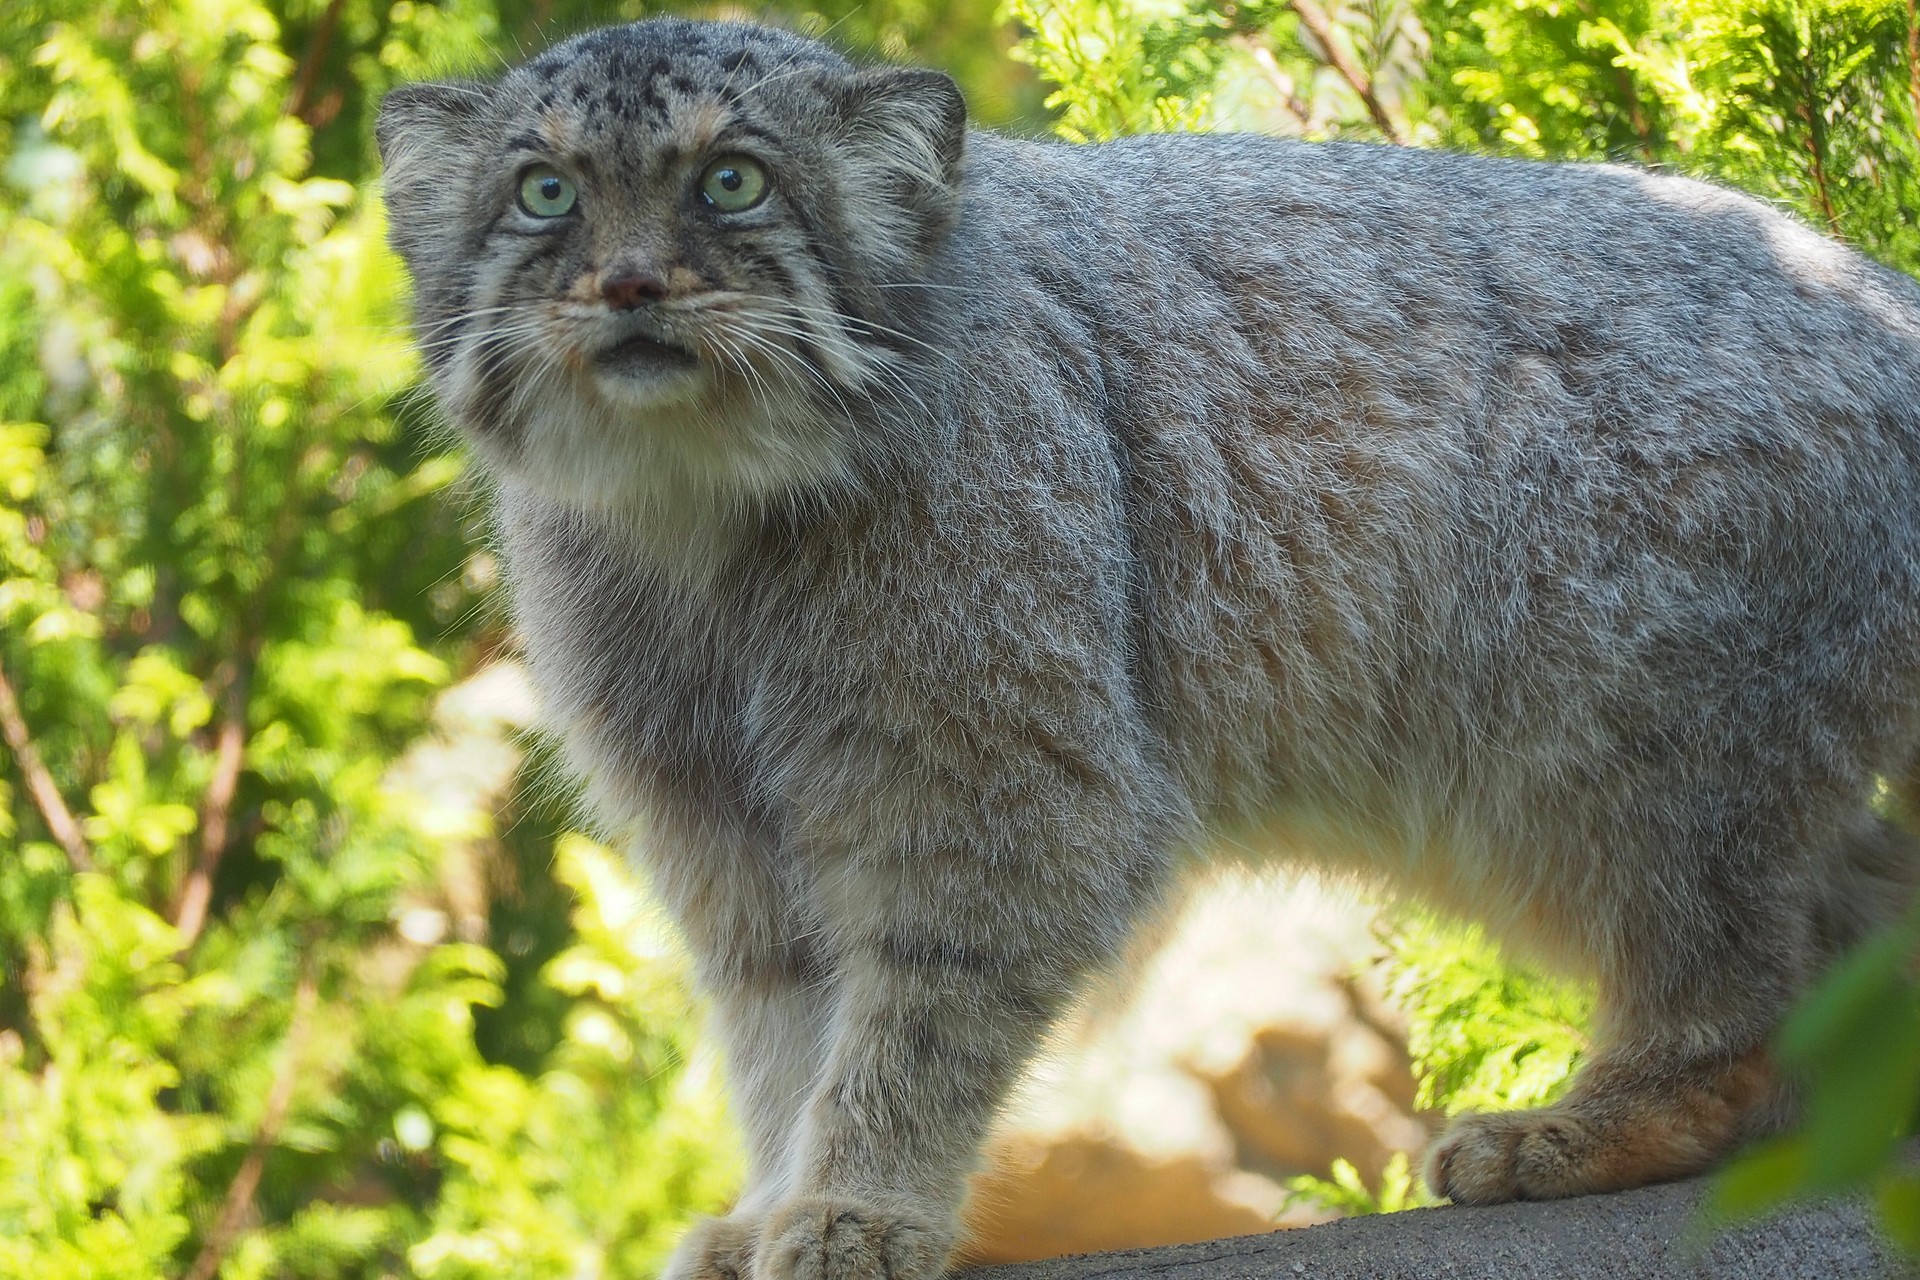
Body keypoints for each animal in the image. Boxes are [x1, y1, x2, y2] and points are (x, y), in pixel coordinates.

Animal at [378, 14, 1920, 1274]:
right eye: (546, 193)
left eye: (732, 182)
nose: (629, 283)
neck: (705, 522)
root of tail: (1885, 296)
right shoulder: (722, 829)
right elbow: (779, 1035)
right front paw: (773, 1202)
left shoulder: (1006, 790)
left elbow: (911, 1022)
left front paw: (856, 1204)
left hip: (1627, 750)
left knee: (1738, 1003)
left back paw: (1591, 1127)